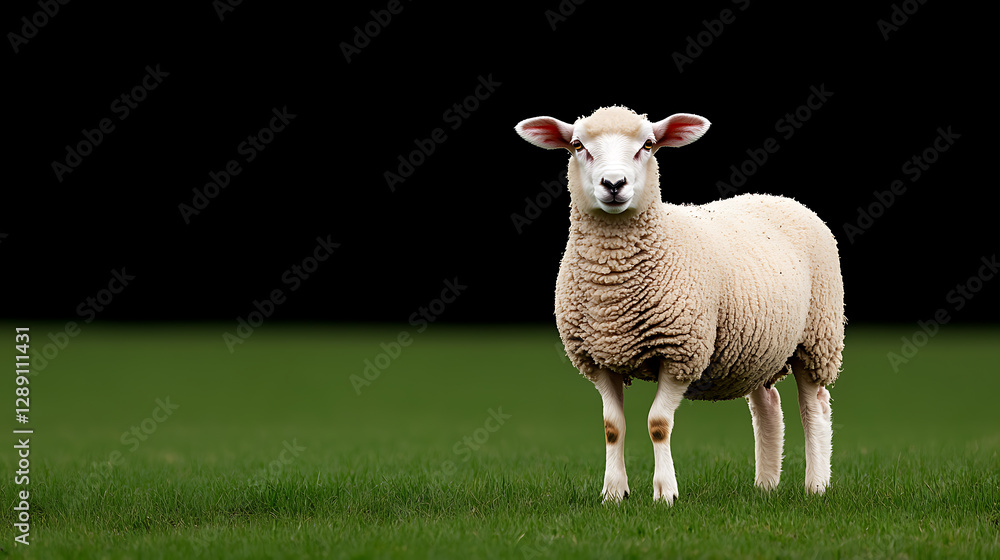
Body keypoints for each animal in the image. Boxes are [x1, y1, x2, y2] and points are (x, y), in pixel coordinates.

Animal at [514, 106, 844, 504]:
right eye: (578, 145)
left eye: (648, 145)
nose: (614, 184)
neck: (612, 291)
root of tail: (778, 196)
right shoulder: (599, 358)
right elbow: (612, 427)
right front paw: (613, 493)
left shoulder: (680, 353)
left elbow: (658, 424)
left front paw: (665, 493)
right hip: (757, 346)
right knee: (768, 406)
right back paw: (765, 486)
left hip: (817, 338)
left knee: (814, 407)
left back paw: (817, 486)